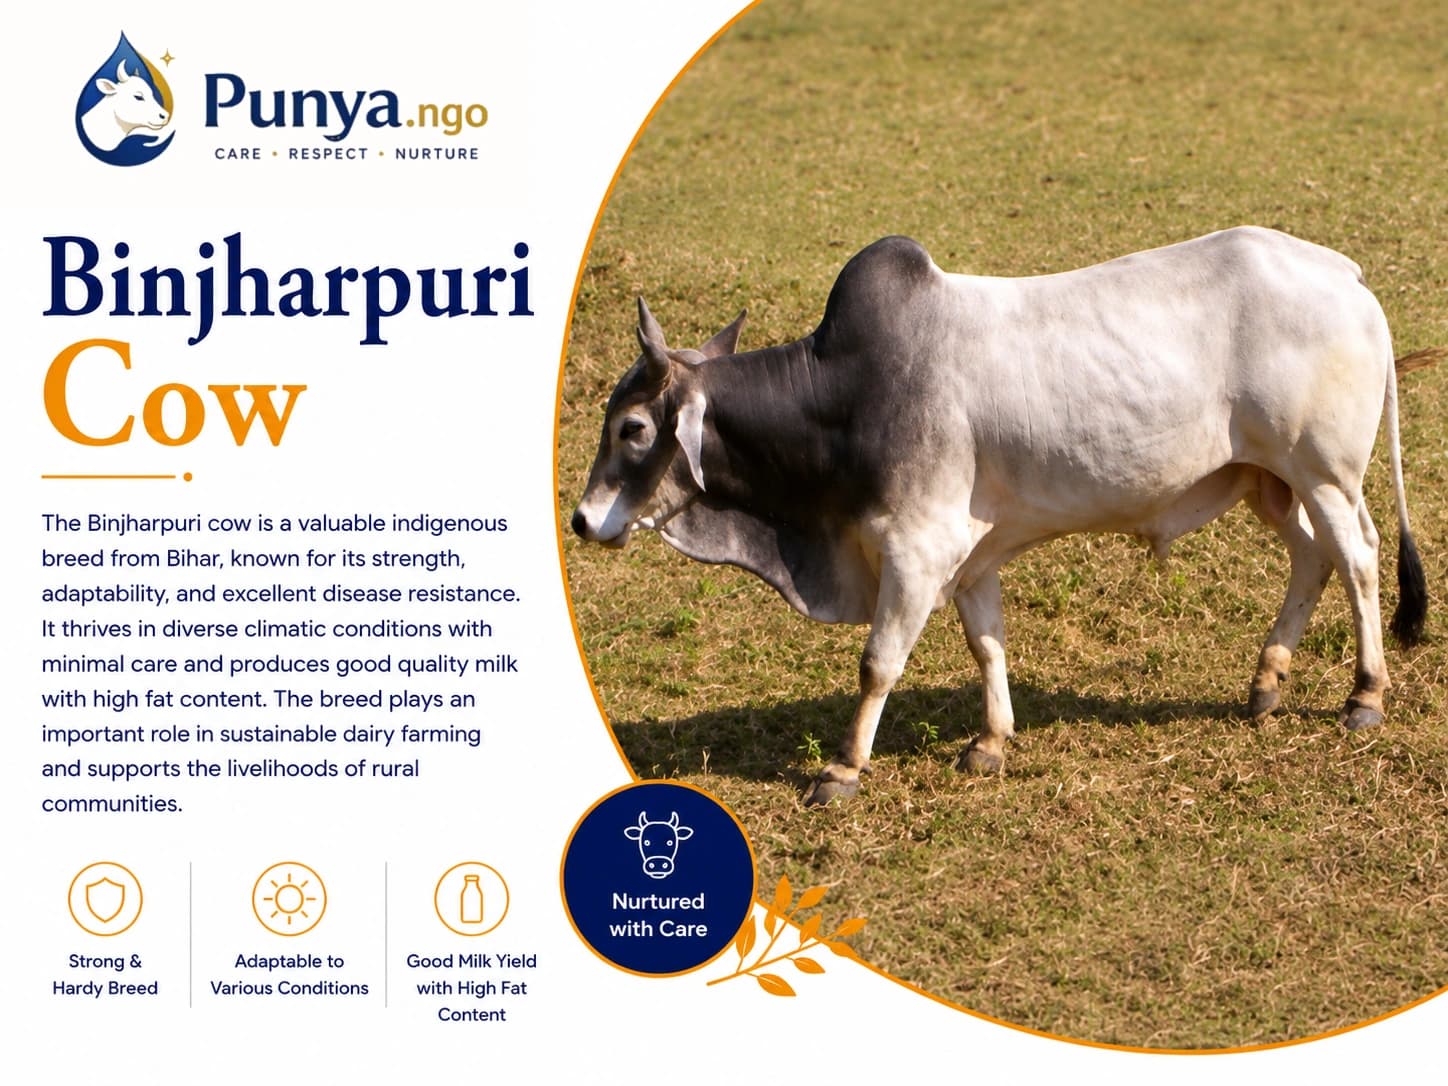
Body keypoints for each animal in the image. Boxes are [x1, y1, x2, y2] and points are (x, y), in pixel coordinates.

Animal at [571, 227, 1432, 806]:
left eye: (634, 428)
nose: (581, 521)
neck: (846, 395)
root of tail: (1345, 274)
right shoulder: (971, 556)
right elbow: (987, 643)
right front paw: (990, 740)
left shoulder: (916, 549)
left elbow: (877, 663)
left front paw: (843, 769)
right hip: (1266, 481)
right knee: (1313, 557)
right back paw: (1265, 682)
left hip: (1324, 473)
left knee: (1359, 555)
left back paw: (1364, 695)